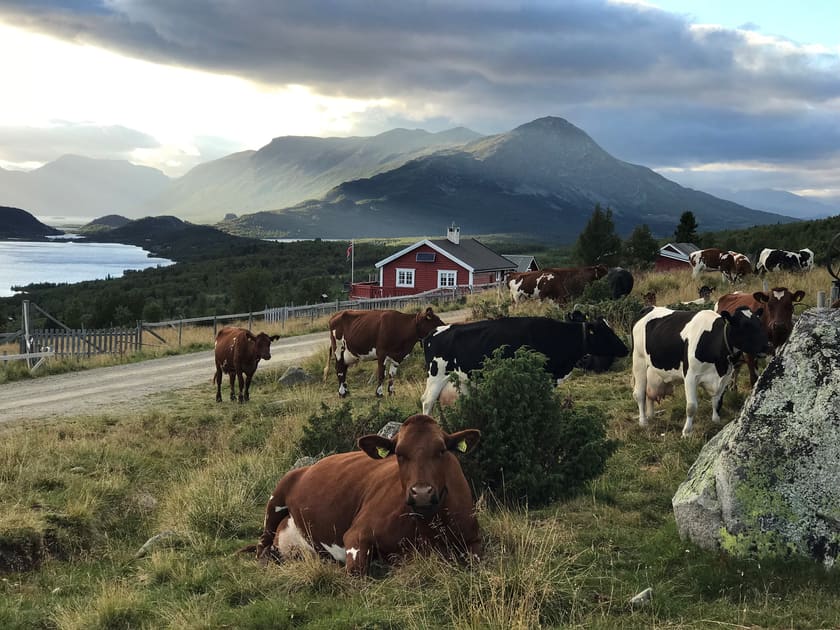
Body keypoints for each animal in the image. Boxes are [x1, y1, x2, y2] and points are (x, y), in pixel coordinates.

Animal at [254, 414, 480, 576]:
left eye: (441, 450)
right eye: (399, 454)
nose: (421, 493)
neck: (426, 526)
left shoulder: (473, 538)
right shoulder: (356, 534)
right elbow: (357, 574)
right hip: (277, 496)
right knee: (262, 544)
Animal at [420, 316, 632, 414]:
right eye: (606, 333)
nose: (626, 348)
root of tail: (435, 331)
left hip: (462, 378)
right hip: (437, 375)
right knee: (427, 401)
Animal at [632, 308, 772, 440]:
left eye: (760, 323)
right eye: (744, 326)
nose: (768, 346)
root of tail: (649, 308)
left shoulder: (725, 377)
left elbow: (717, 401)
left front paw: (716, 421)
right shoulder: (690, 376)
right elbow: (691, 407)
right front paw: (686, 432)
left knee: (649, 394)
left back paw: (651, 416)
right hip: (638, 360)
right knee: (639, 394)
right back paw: (643, 421)